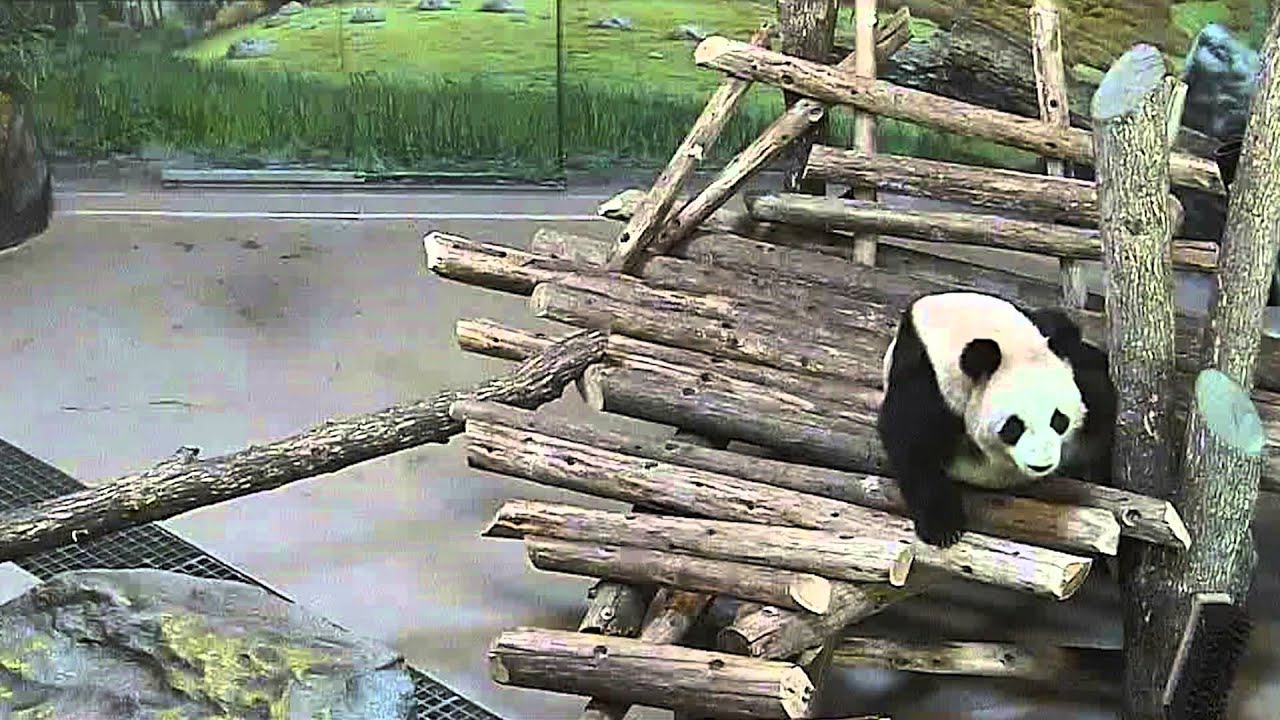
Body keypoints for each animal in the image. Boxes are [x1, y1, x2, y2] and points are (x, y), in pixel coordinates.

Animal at [877, 291, 1116, 548]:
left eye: (1058, 420)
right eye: (1013, 426)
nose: (1041, 465)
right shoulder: (931, 381)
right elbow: (912, 446)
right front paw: (943, 528)